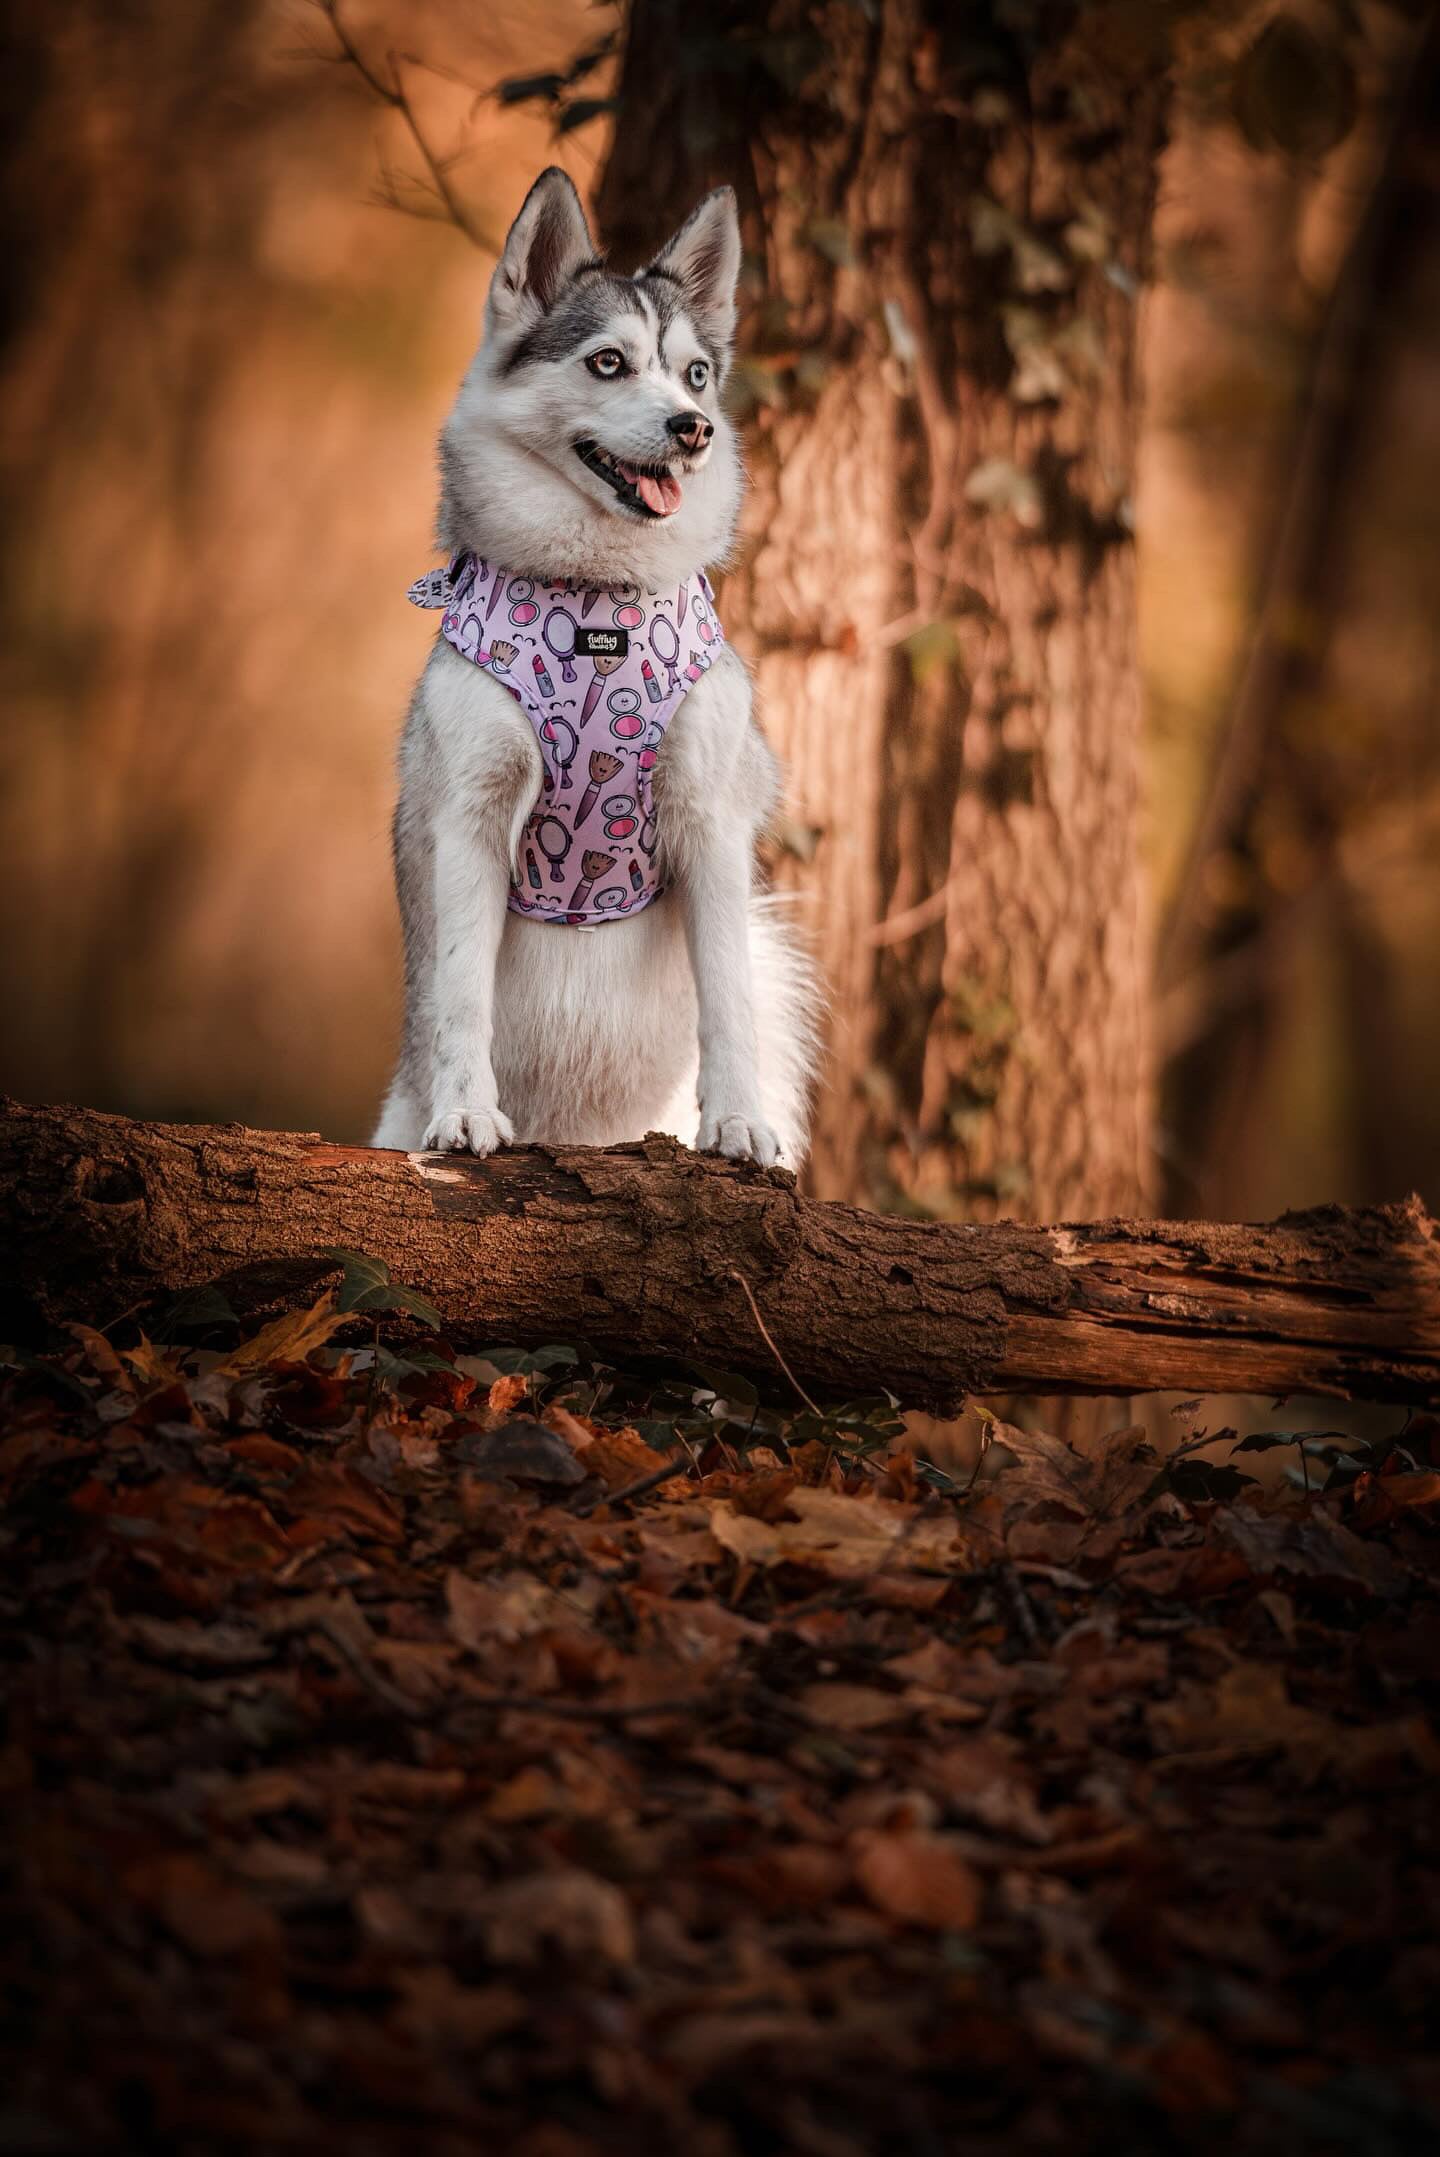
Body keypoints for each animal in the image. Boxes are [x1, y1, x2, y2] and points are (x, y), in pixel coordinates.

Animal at [370, 170, 819, 1173]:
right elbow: (460, 992)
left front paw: (738, 1122)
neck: (596, 602)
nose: (693, 429)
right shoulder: (470, 812)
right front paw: (466, 1112)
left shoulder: (709, 819)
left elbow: (729, 997)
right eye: (609, 363)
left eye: (696, 374)